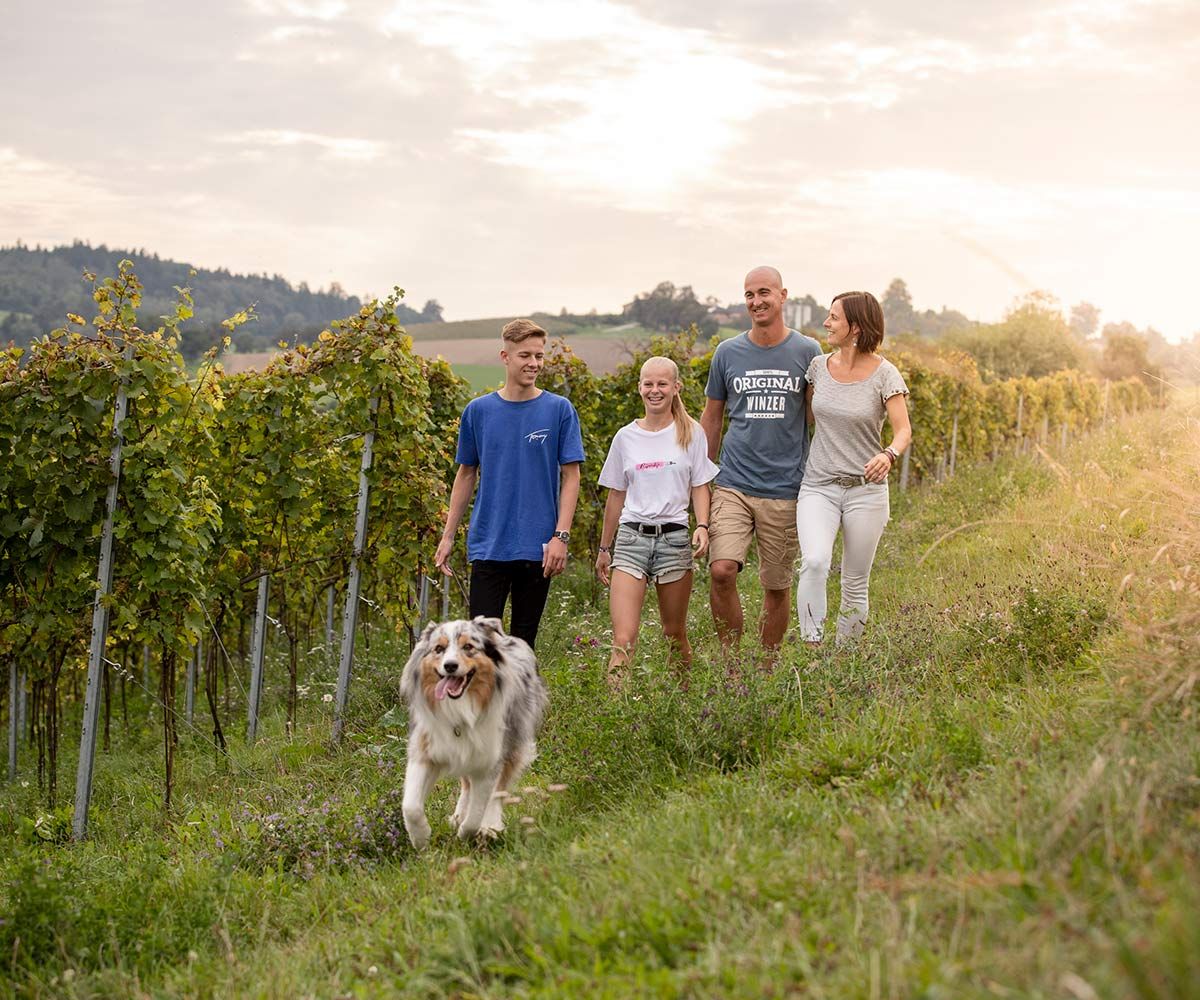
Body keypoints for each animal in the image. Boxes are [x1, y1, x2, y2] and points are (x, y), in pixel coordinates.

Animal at [398, 614, 549, 849]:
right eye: (439, 649)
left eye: (468, 647)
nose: (450, 666)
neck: (460, 708)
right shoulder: (425, 750)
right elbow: (411, 806)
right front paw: (421, 838)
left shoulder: (489, 759)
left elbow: (478, 811)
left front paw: (467, 834)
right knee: (467, 785)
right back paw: (459, 814)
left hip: (513, 742)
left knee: (498, 790)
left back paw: (491, 825)